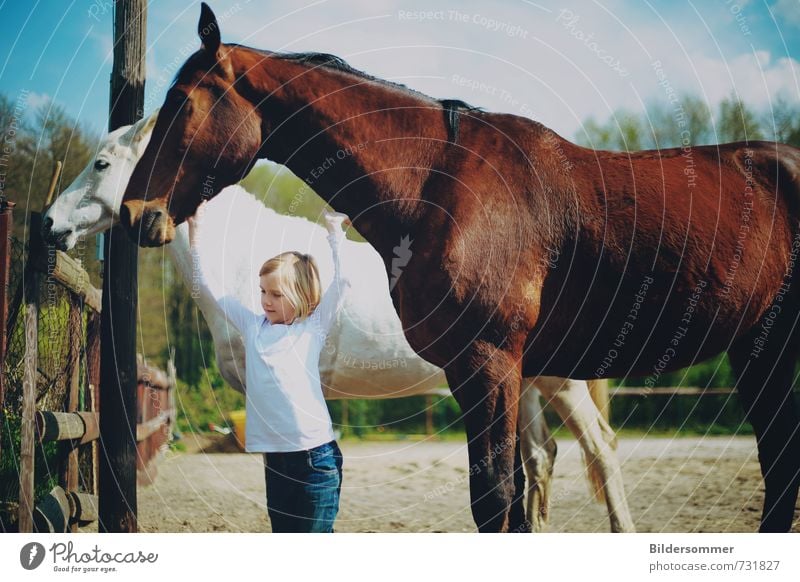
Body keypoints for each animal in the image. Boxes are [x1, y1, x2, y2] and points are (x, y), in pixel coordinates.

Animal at [43, 112, 636, 536]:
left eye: (101, 164)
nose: (49, 222)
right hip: (523, 382)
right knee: (540, 460)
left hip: (558, 381)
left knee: (602, 450)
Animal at [122, 3, 800, 532]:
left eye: (180, 104)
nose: (136, 214)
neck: (436, 185)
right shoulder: (479, 371)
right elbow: (509, 500)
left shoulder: (489, 363)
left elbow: (496, 498)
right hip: (756, 349)